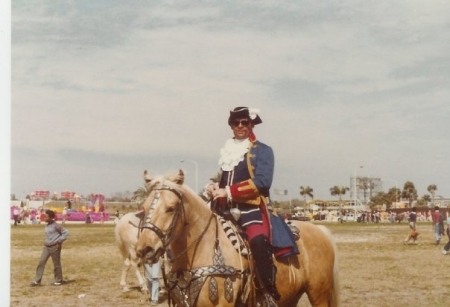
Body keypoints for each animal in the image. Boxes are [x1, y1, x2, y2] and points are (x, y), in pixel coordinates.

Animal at [135, 171, 340, 307]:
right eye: (143, 208)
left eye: (171, 208)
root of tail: (321, 230)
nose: (145, 249)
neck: (202, 248)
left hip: (318, 294)